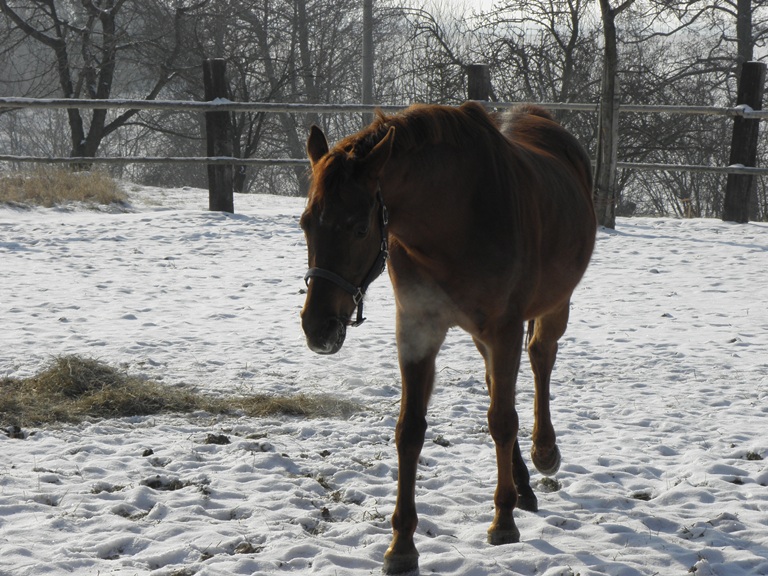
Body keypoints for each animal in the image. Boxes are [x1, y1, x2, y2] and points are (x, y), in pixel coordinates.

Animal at [298, 101, 592, 572]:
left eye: (359, 228)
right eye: (306, 223)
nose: (317, 327)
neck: (454, 219)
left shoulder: (504, 329)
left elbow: (501, 420)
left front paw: (503, 521)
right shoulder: (418, 330)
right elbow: (410, 431)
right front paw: (401, 545)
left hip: (553, 306)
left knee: (541, 358)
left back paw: (544, 454)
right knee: (498, 383)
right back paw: (524, 485)